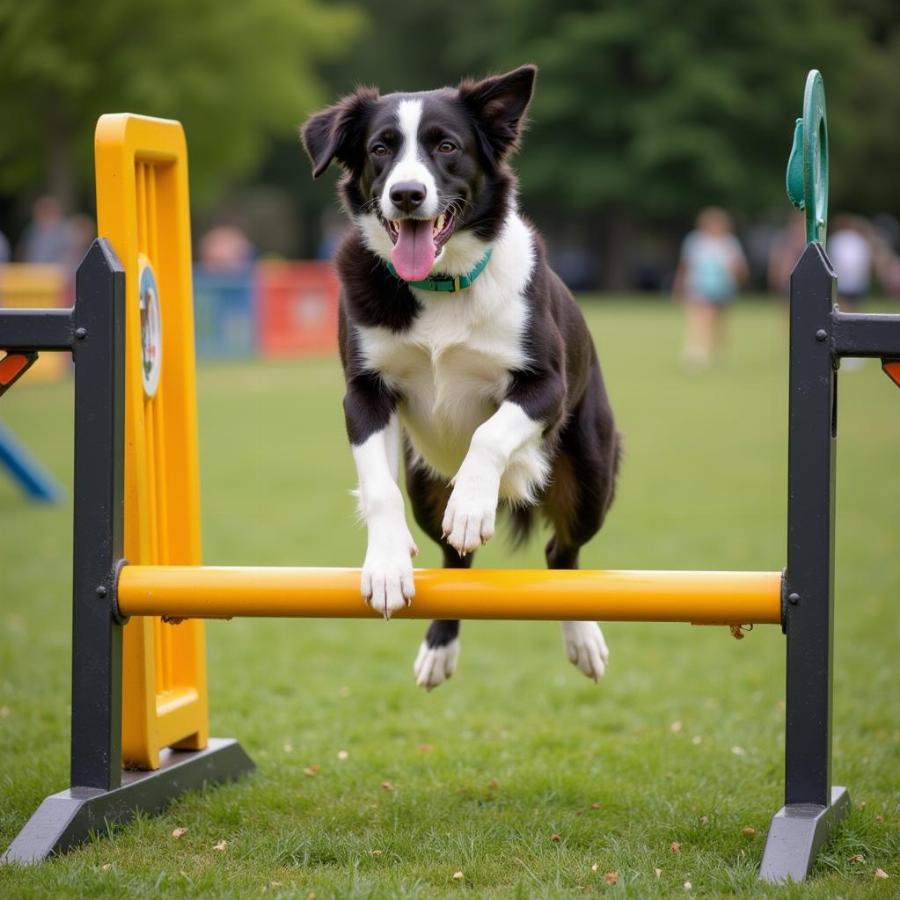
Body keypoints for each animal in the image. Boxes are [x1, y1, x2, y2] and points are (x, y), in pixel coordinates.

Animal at [302, 67, 620, 692]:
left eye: (446, 146)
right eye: (380, 149)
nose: (407, 194)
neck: (440, 284)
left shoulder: (543, 386)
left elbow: (489, 435)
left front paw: (473, 508)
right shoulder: (363, 394)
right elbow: (378, 487)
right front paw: (386, 566)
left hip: (592, 474)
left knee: (563, 552)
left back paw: (583, 637)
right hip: (426, 484)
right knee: (455, 563)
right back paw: (439, 646)